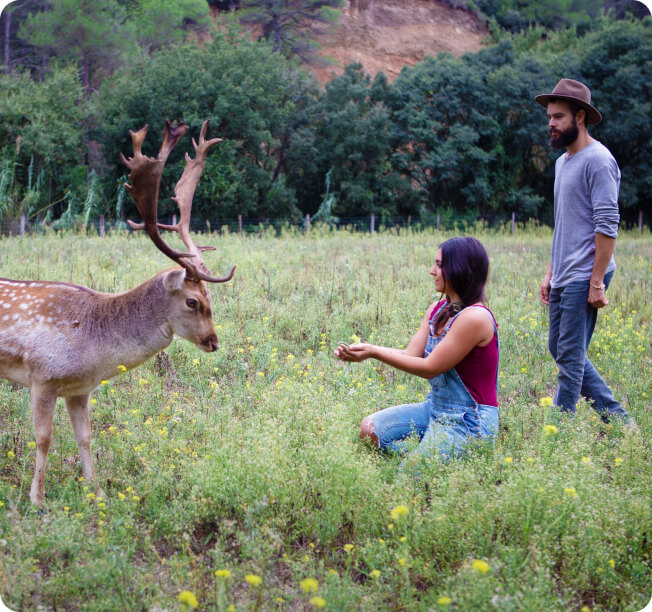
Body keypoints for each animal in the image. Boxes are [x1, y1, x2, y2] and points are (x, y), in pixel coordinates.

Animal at [0, 119, 234, 506]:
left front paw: (97, 493)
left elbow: (85, 437)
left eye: (209, 296)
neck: (94, 348)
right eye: (192, 301)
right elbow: (44, 438)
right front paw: (38, 499)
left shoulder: (79, 389)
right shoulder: (42, 376)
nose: (213, 342)